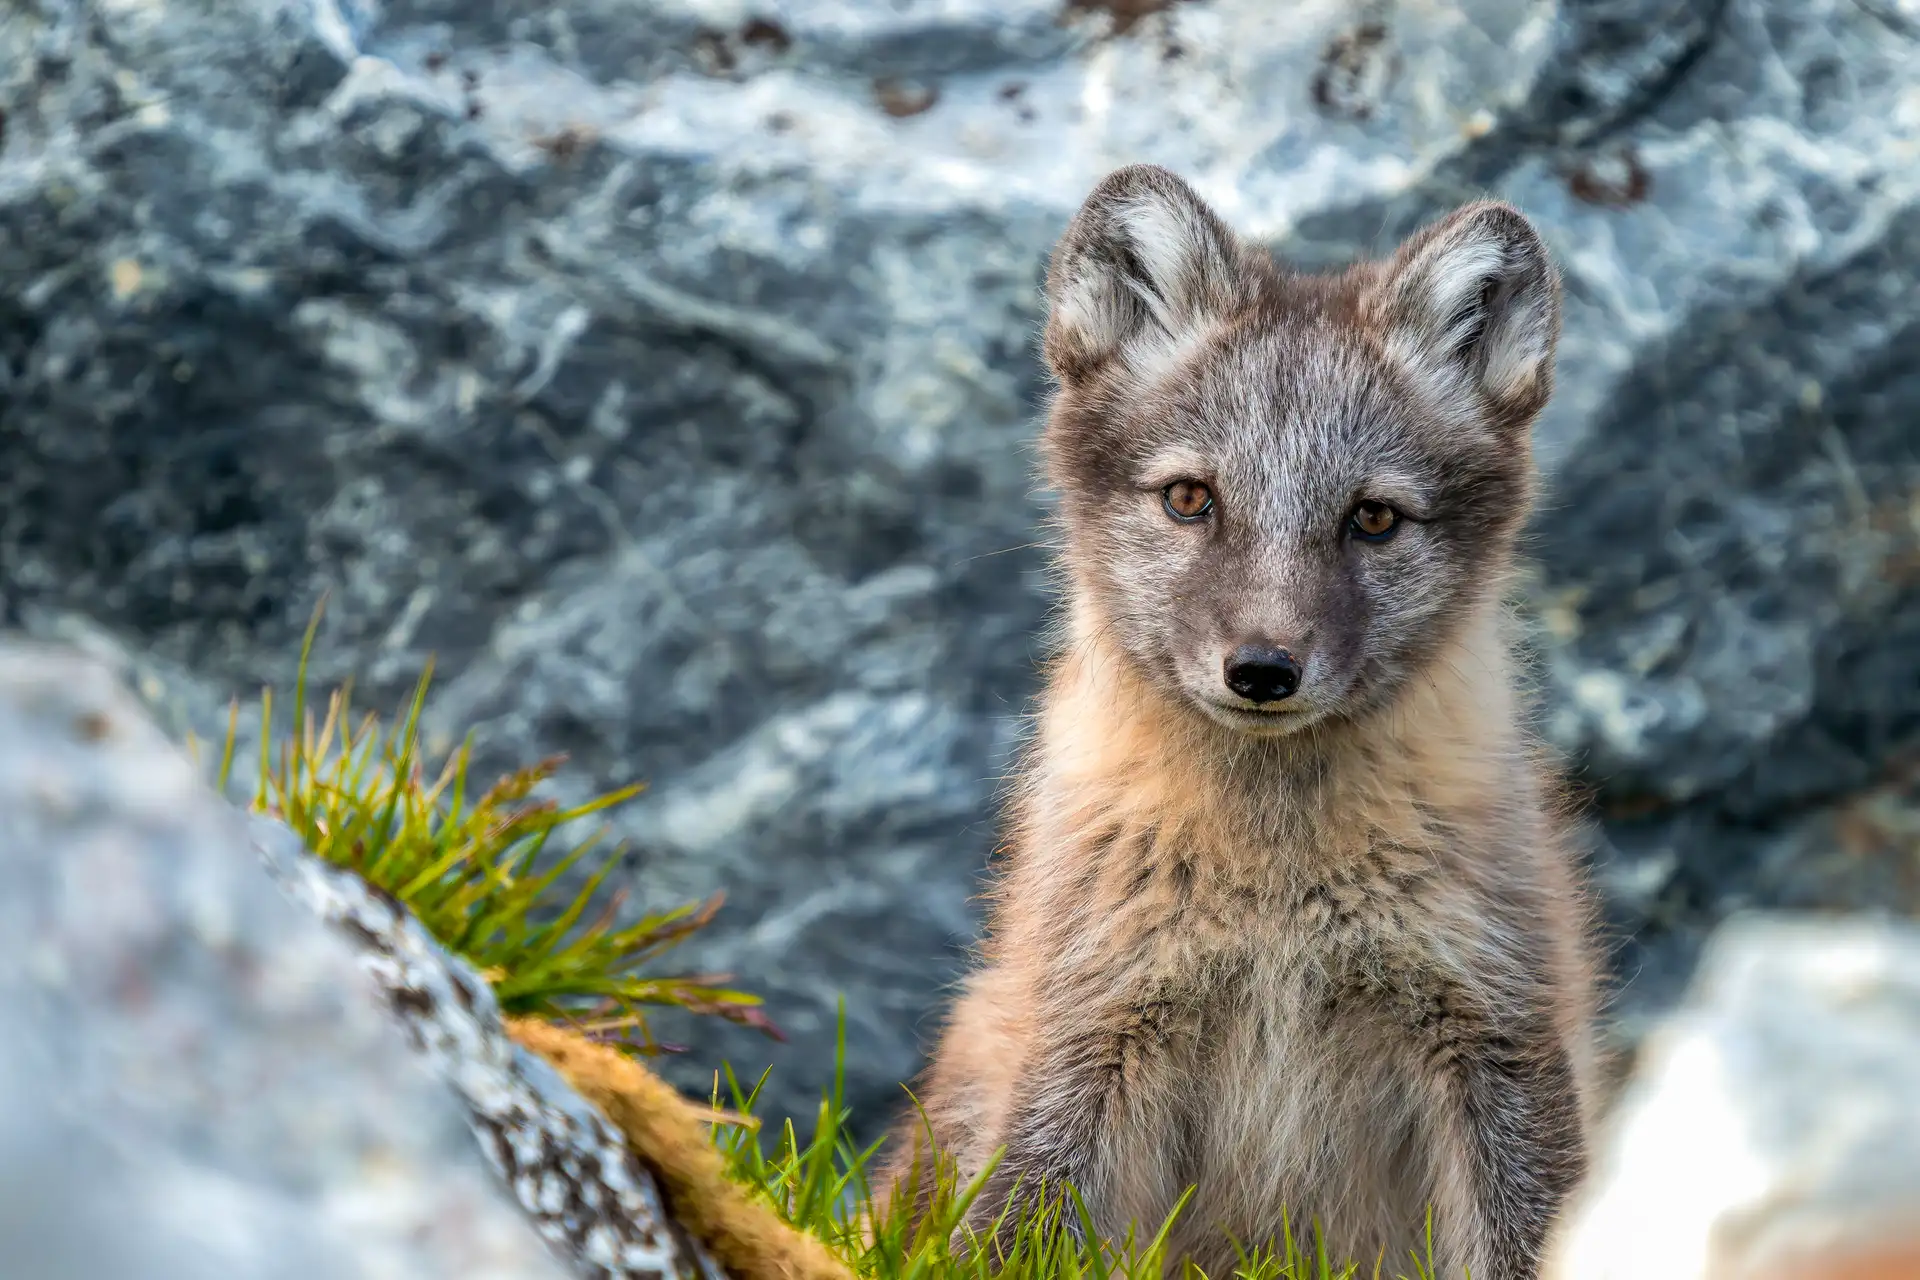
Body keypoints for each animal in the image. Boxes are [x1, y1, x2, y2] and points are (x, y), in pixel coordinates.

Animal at [879, 164, 1602, 1280]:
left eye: (1373, 517)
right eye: (1190, 498)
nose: (1263, 669)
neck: (1278, 894)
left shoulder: (1497, 1025)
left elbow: (1533, 1235)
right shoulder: (1094, 1029)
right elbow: (1024, 1221)